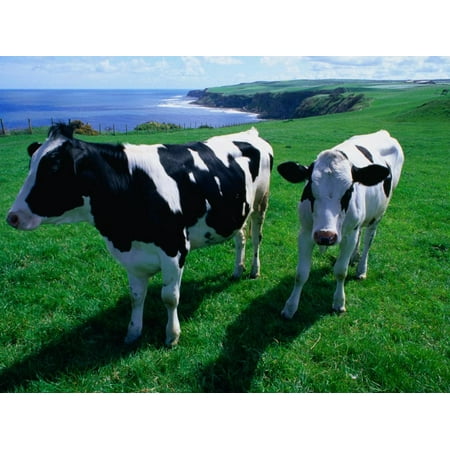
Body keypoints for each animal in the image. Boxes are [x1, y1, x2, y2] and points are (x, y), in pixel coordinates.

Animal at [7, 123, 274, 344]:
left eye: (53, 169)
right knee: (240, 238)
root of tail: (250, 133)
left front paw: (172, 336)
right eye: (31, 166)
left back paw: (253, 270)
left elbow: (170, 297)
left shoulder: (175, 248)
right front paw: (133, 333)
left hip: (261, 202)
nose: (12, 216)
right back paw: (237, 270)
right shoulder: (132, 255)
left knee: (256, 237)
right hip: (238, 211)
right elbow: (136, 296)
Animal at [278, 130, 404, 318]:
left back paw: (361, 269)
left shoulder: (349, 234)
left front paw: (339, 302)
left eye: (349, 190)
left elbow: (340, 271)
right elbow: (301, 273)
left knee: (368, 239)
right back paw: (354, 257)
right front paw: (290, 307)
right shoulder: (306, 232)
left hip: (378, 215)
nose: (326, 236)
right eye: (310, 189)